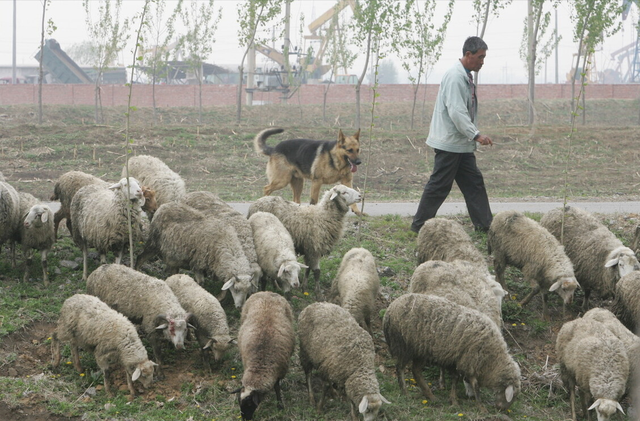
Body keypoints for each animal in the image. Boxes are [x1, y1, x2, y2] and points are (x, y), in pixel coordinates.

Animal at [234, 290, 296, 418]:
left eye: (249, 404)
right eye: (239, 402)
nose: (245, 419)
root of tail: (267, 292)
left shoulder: (279, 371)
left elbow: (277, 387)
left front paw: (279, 405)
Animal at [382, 294, 516, 408]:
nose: (501, 409)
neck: (493, 358)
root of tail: (389, 310)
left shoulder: (458, 360)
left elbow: (456, 379)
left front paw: (453, 400)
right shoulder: (469, 360)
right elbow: (473, 384)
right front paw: (480, 406)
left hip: (421, 350)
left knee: (416, 371)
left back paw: (430, 396)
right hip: (404, 345)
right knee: (400, 368)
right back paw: (405, 392)